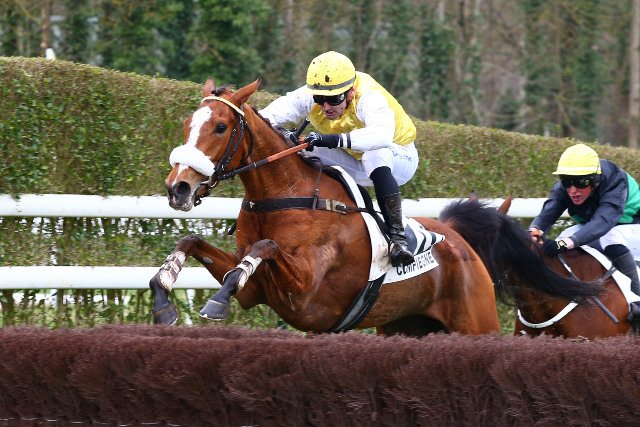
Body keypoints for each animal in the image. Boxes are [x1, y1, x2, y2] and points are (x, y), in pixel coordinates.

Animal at [148, 77, 500, 337]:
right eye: (187, 124)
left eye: (221, 127)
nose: (177, 188)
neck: (284, 194)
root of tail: (455, 235)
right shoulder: (257, 290)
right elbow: (192, 242)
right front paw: (163, 296)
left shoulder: (305, 291)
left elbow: (266, 246)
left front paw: (217, 301)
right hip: (405, 325)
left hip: (477, 324)